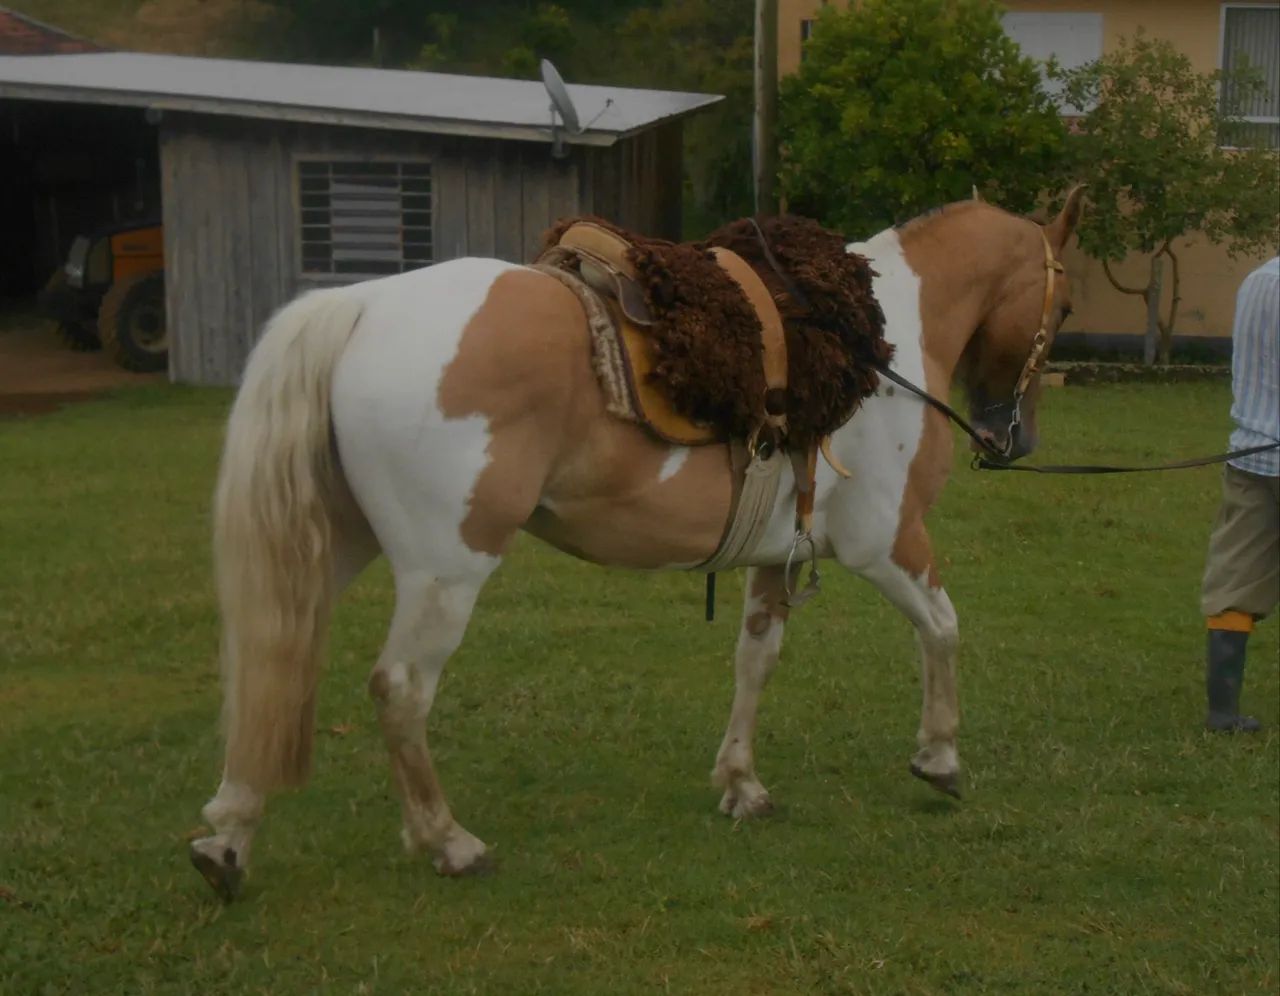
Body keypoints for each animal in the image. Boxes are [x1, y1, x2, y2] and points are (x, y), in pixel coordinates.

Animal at [190, 189, 1084, 899]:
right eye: (1064, 311)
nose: (1017, 439)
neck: (883, 341)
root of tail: (363, 306)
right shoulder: (886, 542)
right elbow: (943, 628)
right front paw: (940, 757)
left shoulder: (777, 555)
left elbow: (756, 660)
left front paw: (741, 784)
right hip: (446, 570)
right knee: (400, 690)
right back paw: (449, 842)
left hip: (335, 547)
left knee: (272, 663)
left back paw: (227, 836)